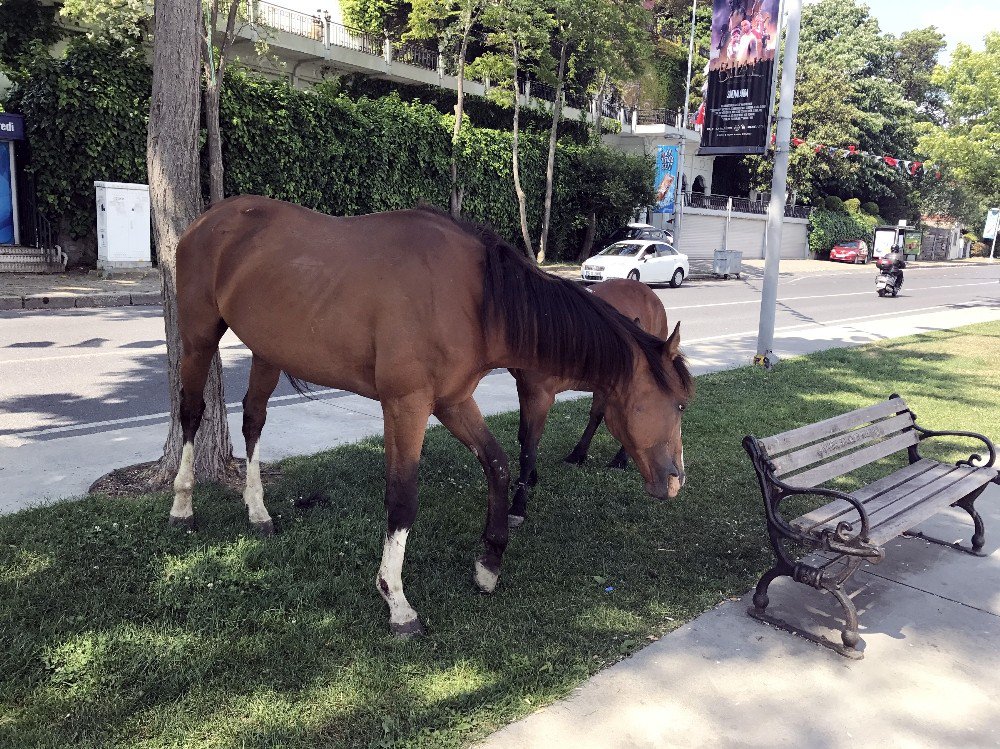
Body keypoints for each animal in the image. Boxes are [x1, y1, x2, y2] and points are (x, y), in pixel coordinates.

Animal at [512, 280, 676, 524]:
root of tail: (650, 292)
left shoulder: (540, 394)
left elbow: (529, 448)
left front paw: (518, 506)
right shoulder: (523, 387)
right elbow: (524, 437)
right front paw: (530, 479)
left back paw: (619, 460)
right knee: (598, 414)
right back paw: (577, 455)